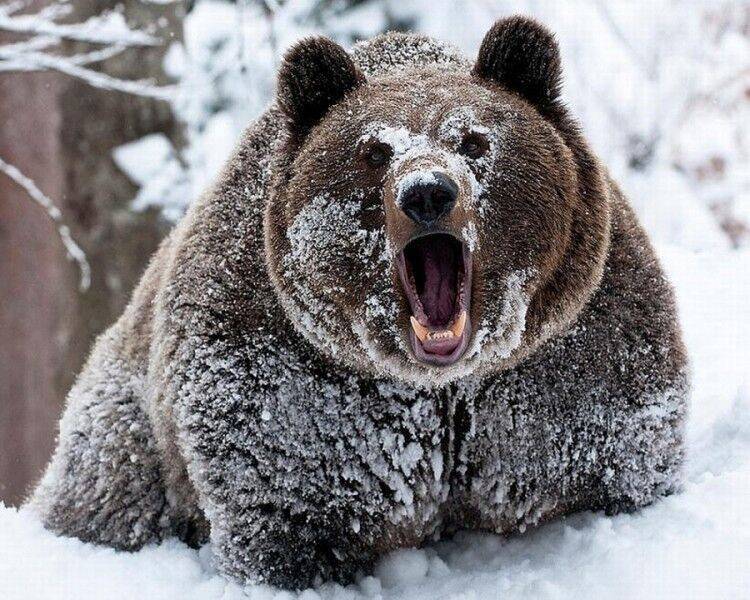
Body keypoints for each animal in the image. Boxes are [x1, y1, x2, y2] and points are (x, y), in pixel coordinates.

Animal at [28, 17, 688, 590]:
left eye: (474, 140)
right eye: (375, 151)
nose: (427, 192)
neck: (439, 385)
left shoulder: (568, 362)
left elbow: (612, 460)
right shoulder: (289, 384)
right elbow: (287, 510)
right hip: (127, 423)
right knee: (109, 490)